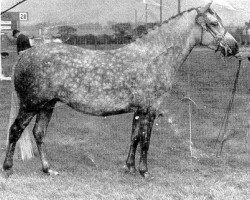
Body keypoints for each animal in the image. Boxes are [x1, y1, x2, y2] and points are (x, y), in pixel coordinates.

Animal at [3, 0, 238, 177]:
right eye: (214, 23)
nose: (235, 47)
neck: (153, 57)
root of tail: (24, 54)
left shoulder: (138, 111)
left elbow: (134, 138)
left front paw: (129, 167)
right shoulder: (150, 110)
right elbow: (145, 140)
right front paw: (144, 171)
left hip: (47, 105)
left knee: (38, 133)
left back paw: (48, 169)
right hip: (31, 105)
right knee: (15, 130)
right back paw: (8, 169)